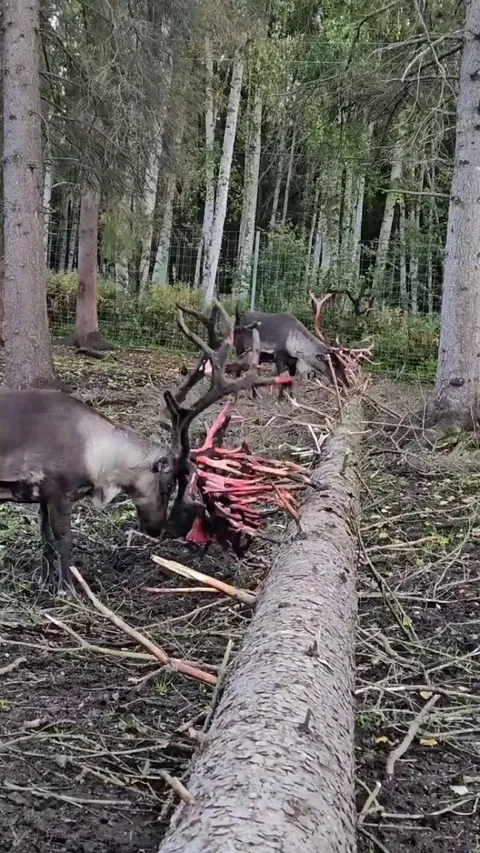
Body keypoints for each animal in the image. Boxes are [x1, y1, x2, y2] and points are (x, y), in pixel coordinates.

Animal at [0, 301, 286, 597]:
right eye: (170, 484)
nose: (157, 528)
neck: (98, 457)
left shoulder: (43, 495)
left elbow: (44, 536)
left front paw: (44, 582)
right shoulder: (59, 490)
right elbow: (63, 539)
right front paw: (67, 591)